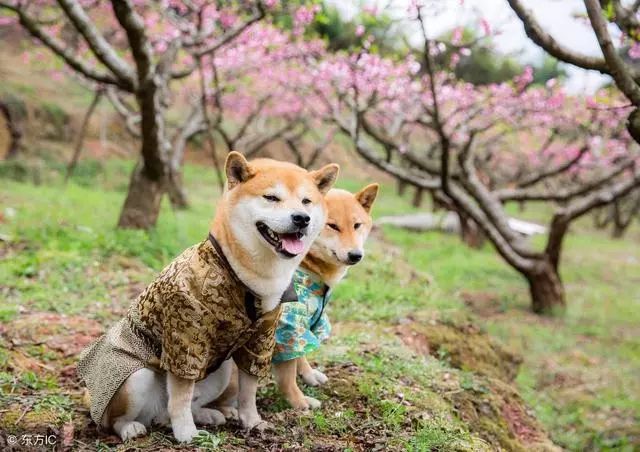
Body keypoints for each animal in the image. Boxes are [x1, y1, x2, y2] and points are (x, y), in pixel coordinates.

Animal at [77, 152, 340, 442]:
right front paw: (186, 434)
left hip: (222, 371)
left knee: (170, 411)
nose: (302, 218)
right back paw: (131, 427)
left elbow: (248, 392)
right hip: (135, 378)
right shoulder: (185, 338)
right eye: (271, 198)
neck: (239, 273)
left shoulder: (260, 339)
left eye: (306, 201)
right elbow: (180, 397)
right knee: (118, 419)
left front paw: (252, 422)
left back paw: (208, 415)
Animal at [272, 183, 380, 410]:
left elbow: (301, 354)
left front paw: (308, 375)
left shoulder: (307, 322)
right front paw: (298, 401)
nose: (356, 255)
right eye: (333, 226)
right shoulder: (289, 323)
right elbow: (287, 373)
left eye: (357, 225)